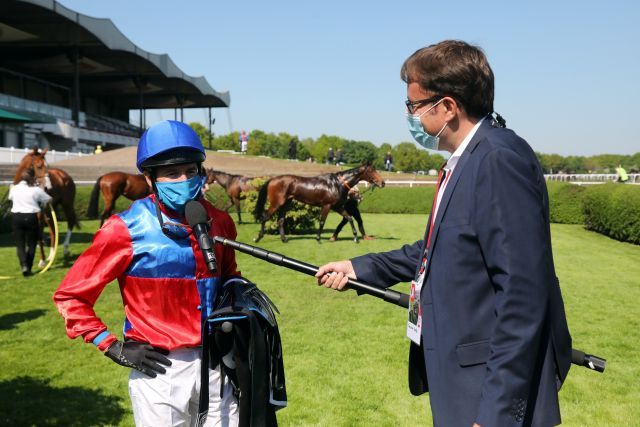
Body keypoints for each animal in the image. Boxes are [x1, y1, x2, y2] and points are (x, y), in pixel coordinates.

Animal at [252, 163, 384, 244]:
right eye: (372, 171)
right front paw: (318, 239)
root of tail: (272, 179)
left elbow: (349, 218)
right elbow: (322, 222)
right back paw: (258, 238)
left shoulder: (337, 207)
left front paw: (356, 238)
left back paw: (284, 239)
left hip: (286, 204)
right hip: (276, 203)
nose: (382, 182)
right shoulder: (327, 206)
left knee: (280, 220)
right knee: (265, 217)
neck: (337, 183)